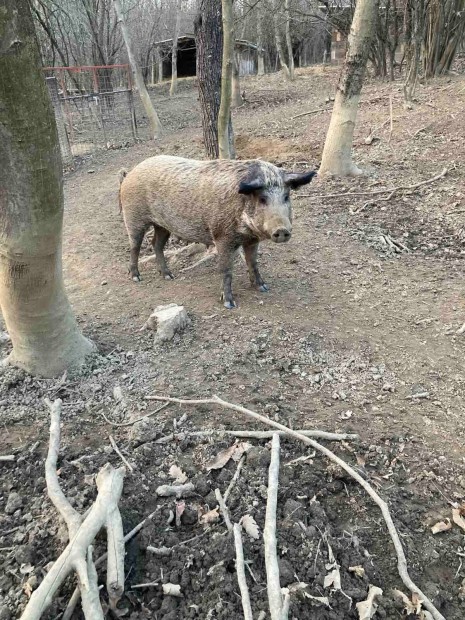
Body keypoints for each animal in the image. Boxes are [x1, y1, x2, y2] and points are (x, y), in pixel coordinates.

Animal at [119, 156, 316, 308]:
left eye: (286, 197)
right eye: (262, 199)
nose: (282, 230)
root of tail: (130, 173)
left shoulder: (251, 240)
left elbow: (253, 263)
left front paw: (263, 288)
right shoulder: (222, 237)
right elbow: (226, 270)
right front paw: (229, 304)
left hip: (163, 225)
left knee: (156, 244)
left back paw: (169, 276)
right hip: (134, 217)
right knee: (134, 246)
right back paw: (136, 277)